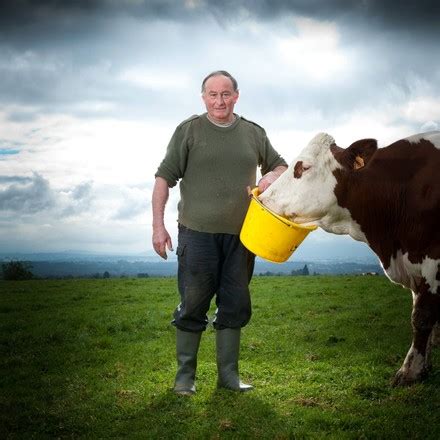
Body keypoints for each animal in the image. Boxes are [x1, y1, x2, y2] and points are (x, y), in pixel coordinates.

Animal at [260, 131, 438, 384]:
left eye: (303, 167)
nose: (262, 200)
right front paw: (423, 367)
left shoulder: (432, 261)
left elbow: (422, 317)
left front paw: (409, 372)